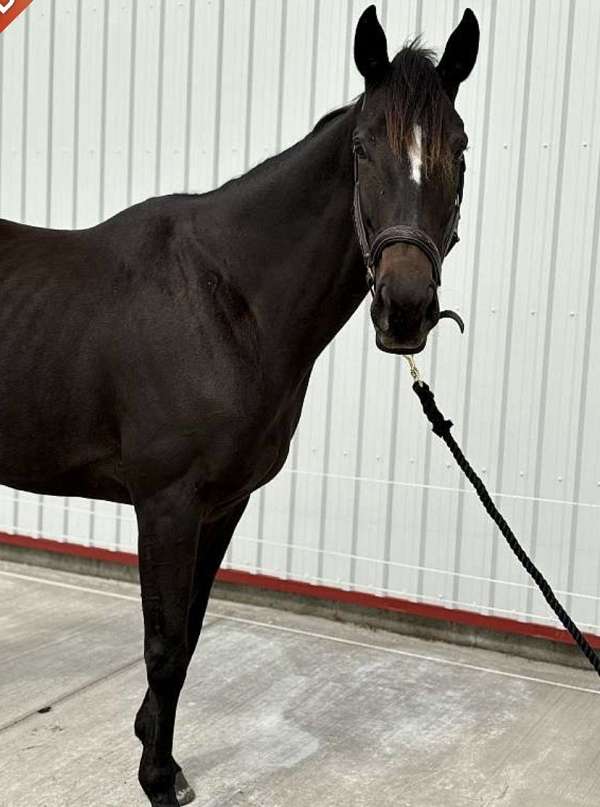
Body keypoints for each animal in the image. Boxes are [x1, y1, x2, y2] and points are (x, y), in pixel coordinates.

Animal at [0, 6, 479, 805]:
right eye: (361, 149)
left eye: (462, 150)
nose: (405, 309)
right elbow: (164, 644)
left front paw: (158, 753)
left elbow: (190, 632)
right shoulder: (166, 502)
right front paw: (158, 779)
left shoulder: (224, 503)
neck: (226, 300)